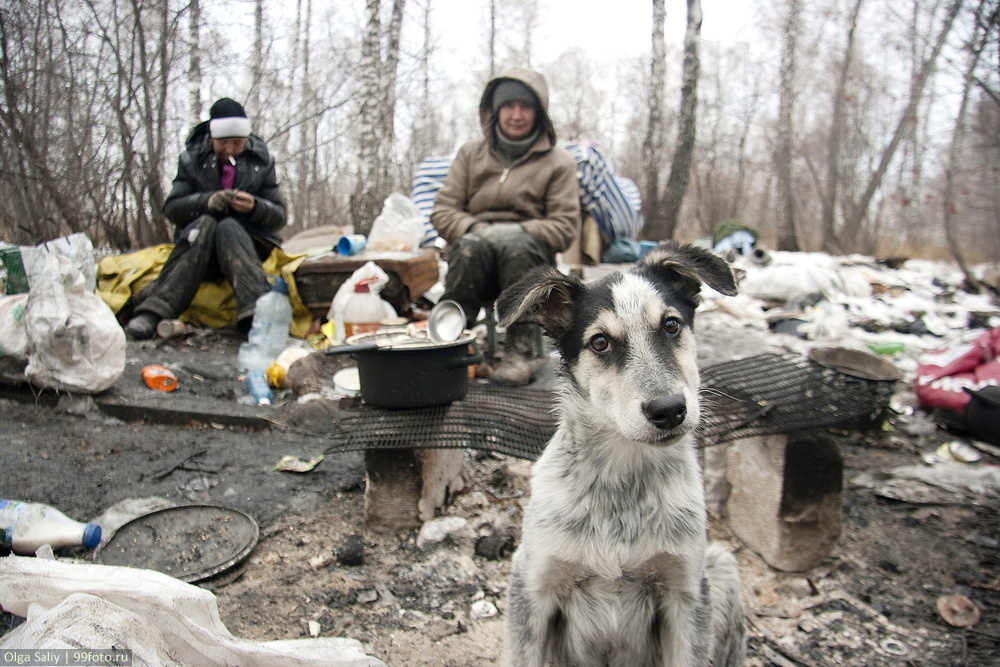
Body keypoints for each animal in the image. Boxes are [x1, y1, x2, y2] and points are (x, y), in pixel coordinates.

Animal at [498, 241, 744, 667]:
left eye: (671, 325)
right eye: (600, 342)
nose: (669, 410)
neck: (623, 478)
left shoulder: (687, 592)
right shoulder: (531, 584)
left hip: (723, 569)